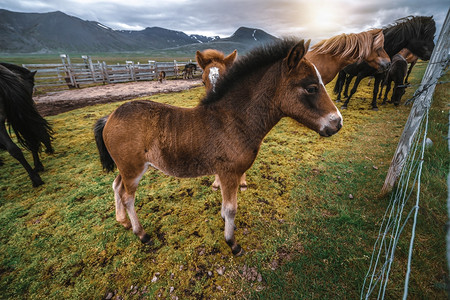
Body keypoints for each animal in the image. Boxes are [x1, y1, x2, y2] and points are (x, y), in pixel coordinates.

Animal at [94, 39, 342, 255]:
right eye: (311, 88)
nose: (337, 123)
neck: (233, 120)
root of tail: (110, 116)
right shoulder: (229, 172)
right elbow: (232, 208)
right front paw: (232, 243)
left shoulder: (227, 173)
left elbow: (225, 204)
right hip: (133, 168)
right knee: (128, 197)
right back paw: (142, 233)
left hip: (126, 167)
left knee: (116, 185)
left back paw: (123, 221)